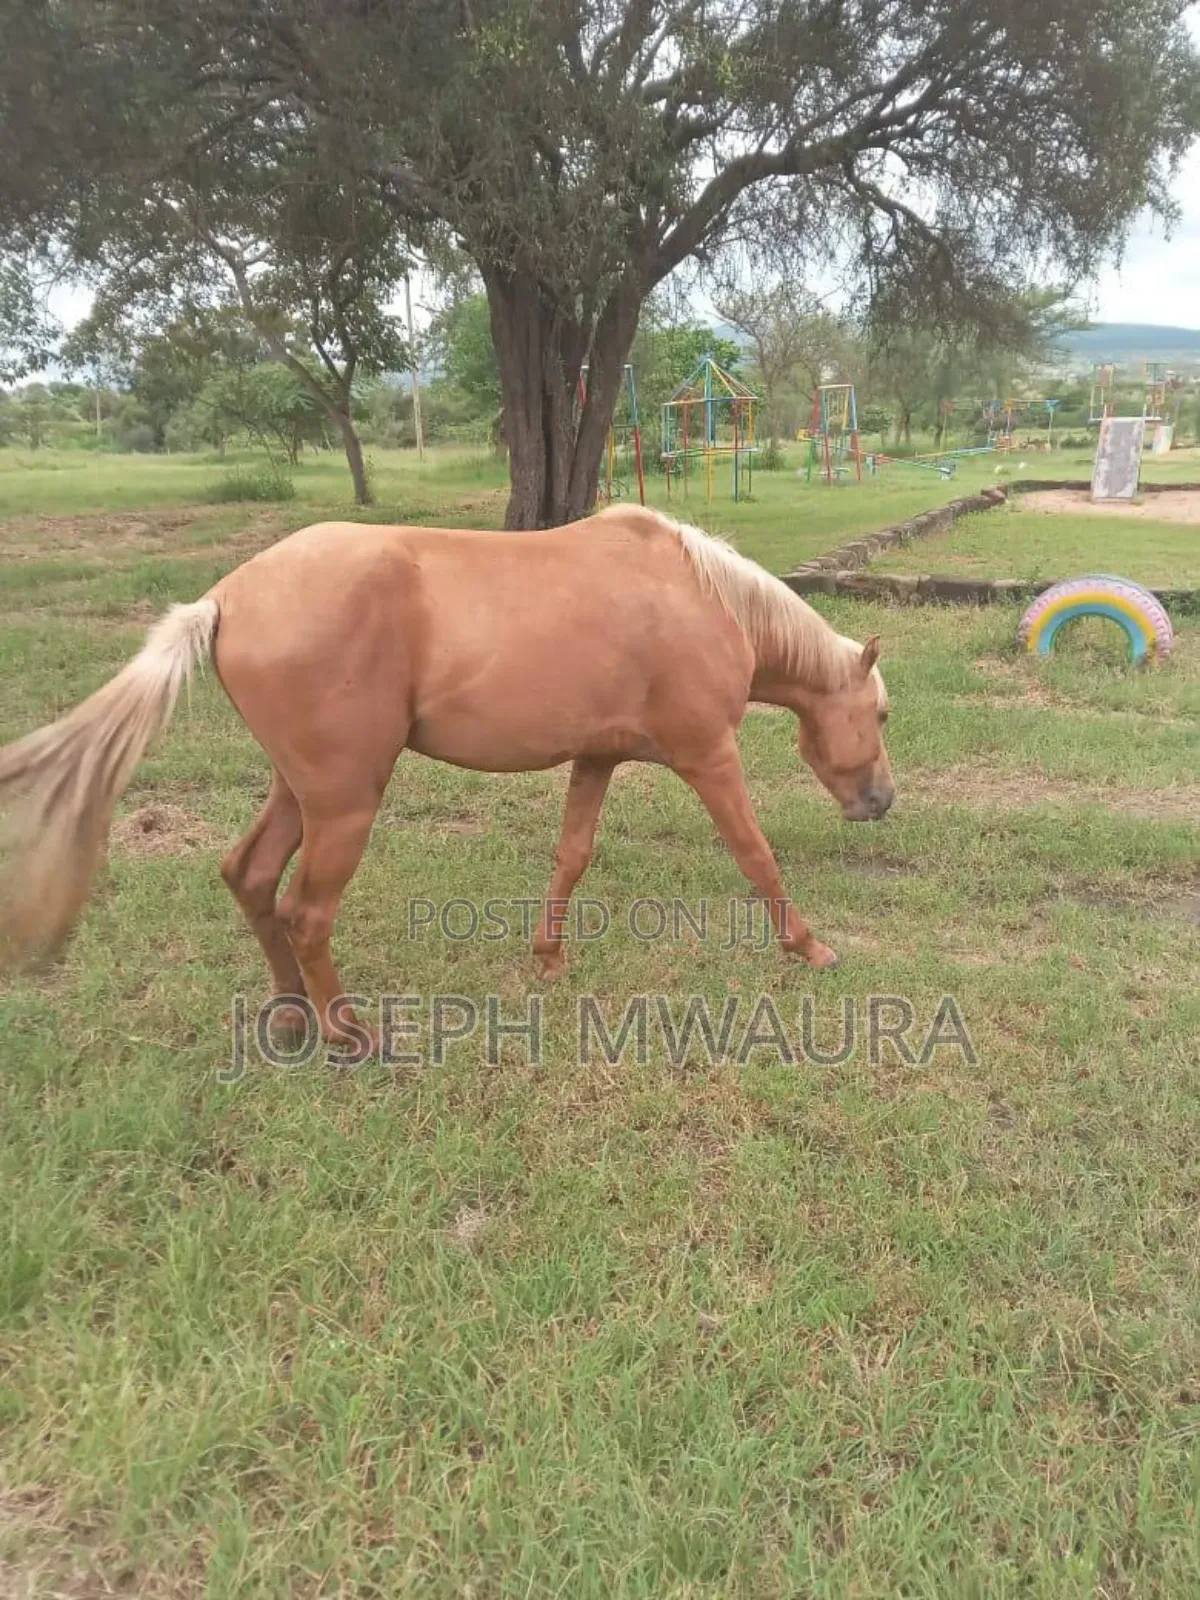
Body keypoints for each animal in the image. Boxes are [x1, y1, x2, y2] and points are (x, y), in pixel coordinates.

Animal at [0, 505, 892, 1054]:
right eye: (882, 715)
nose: (881, 801)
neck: (702, 596)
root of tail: (221, 599)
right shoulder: (708, 753)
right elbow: (755, 854)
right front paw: (810, 947)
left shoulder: (597, 758)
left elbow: (572, 856)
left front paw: (548, 959)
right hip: (345, 803)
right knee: (305, 911)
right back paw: (348, 1034)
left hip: (300, 792)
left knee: (249, 877)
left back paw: (291, 1015)